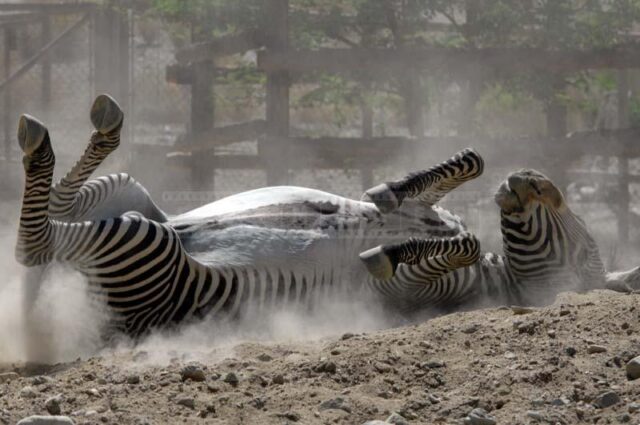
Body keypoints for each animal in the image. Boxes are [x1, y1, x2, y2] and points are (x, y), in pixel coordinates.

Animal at [14, 94, 497, 336]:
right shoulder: (431, 207)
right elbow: (472, 162)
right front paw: (386, 192)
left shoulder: (405, 290)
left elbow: (468, 242)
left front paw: (387, 251)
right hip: (131, 193)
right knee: (58, 209)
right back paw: (96, 127)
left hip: (147, 241)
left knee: (35, 246)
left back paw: (40, 143)